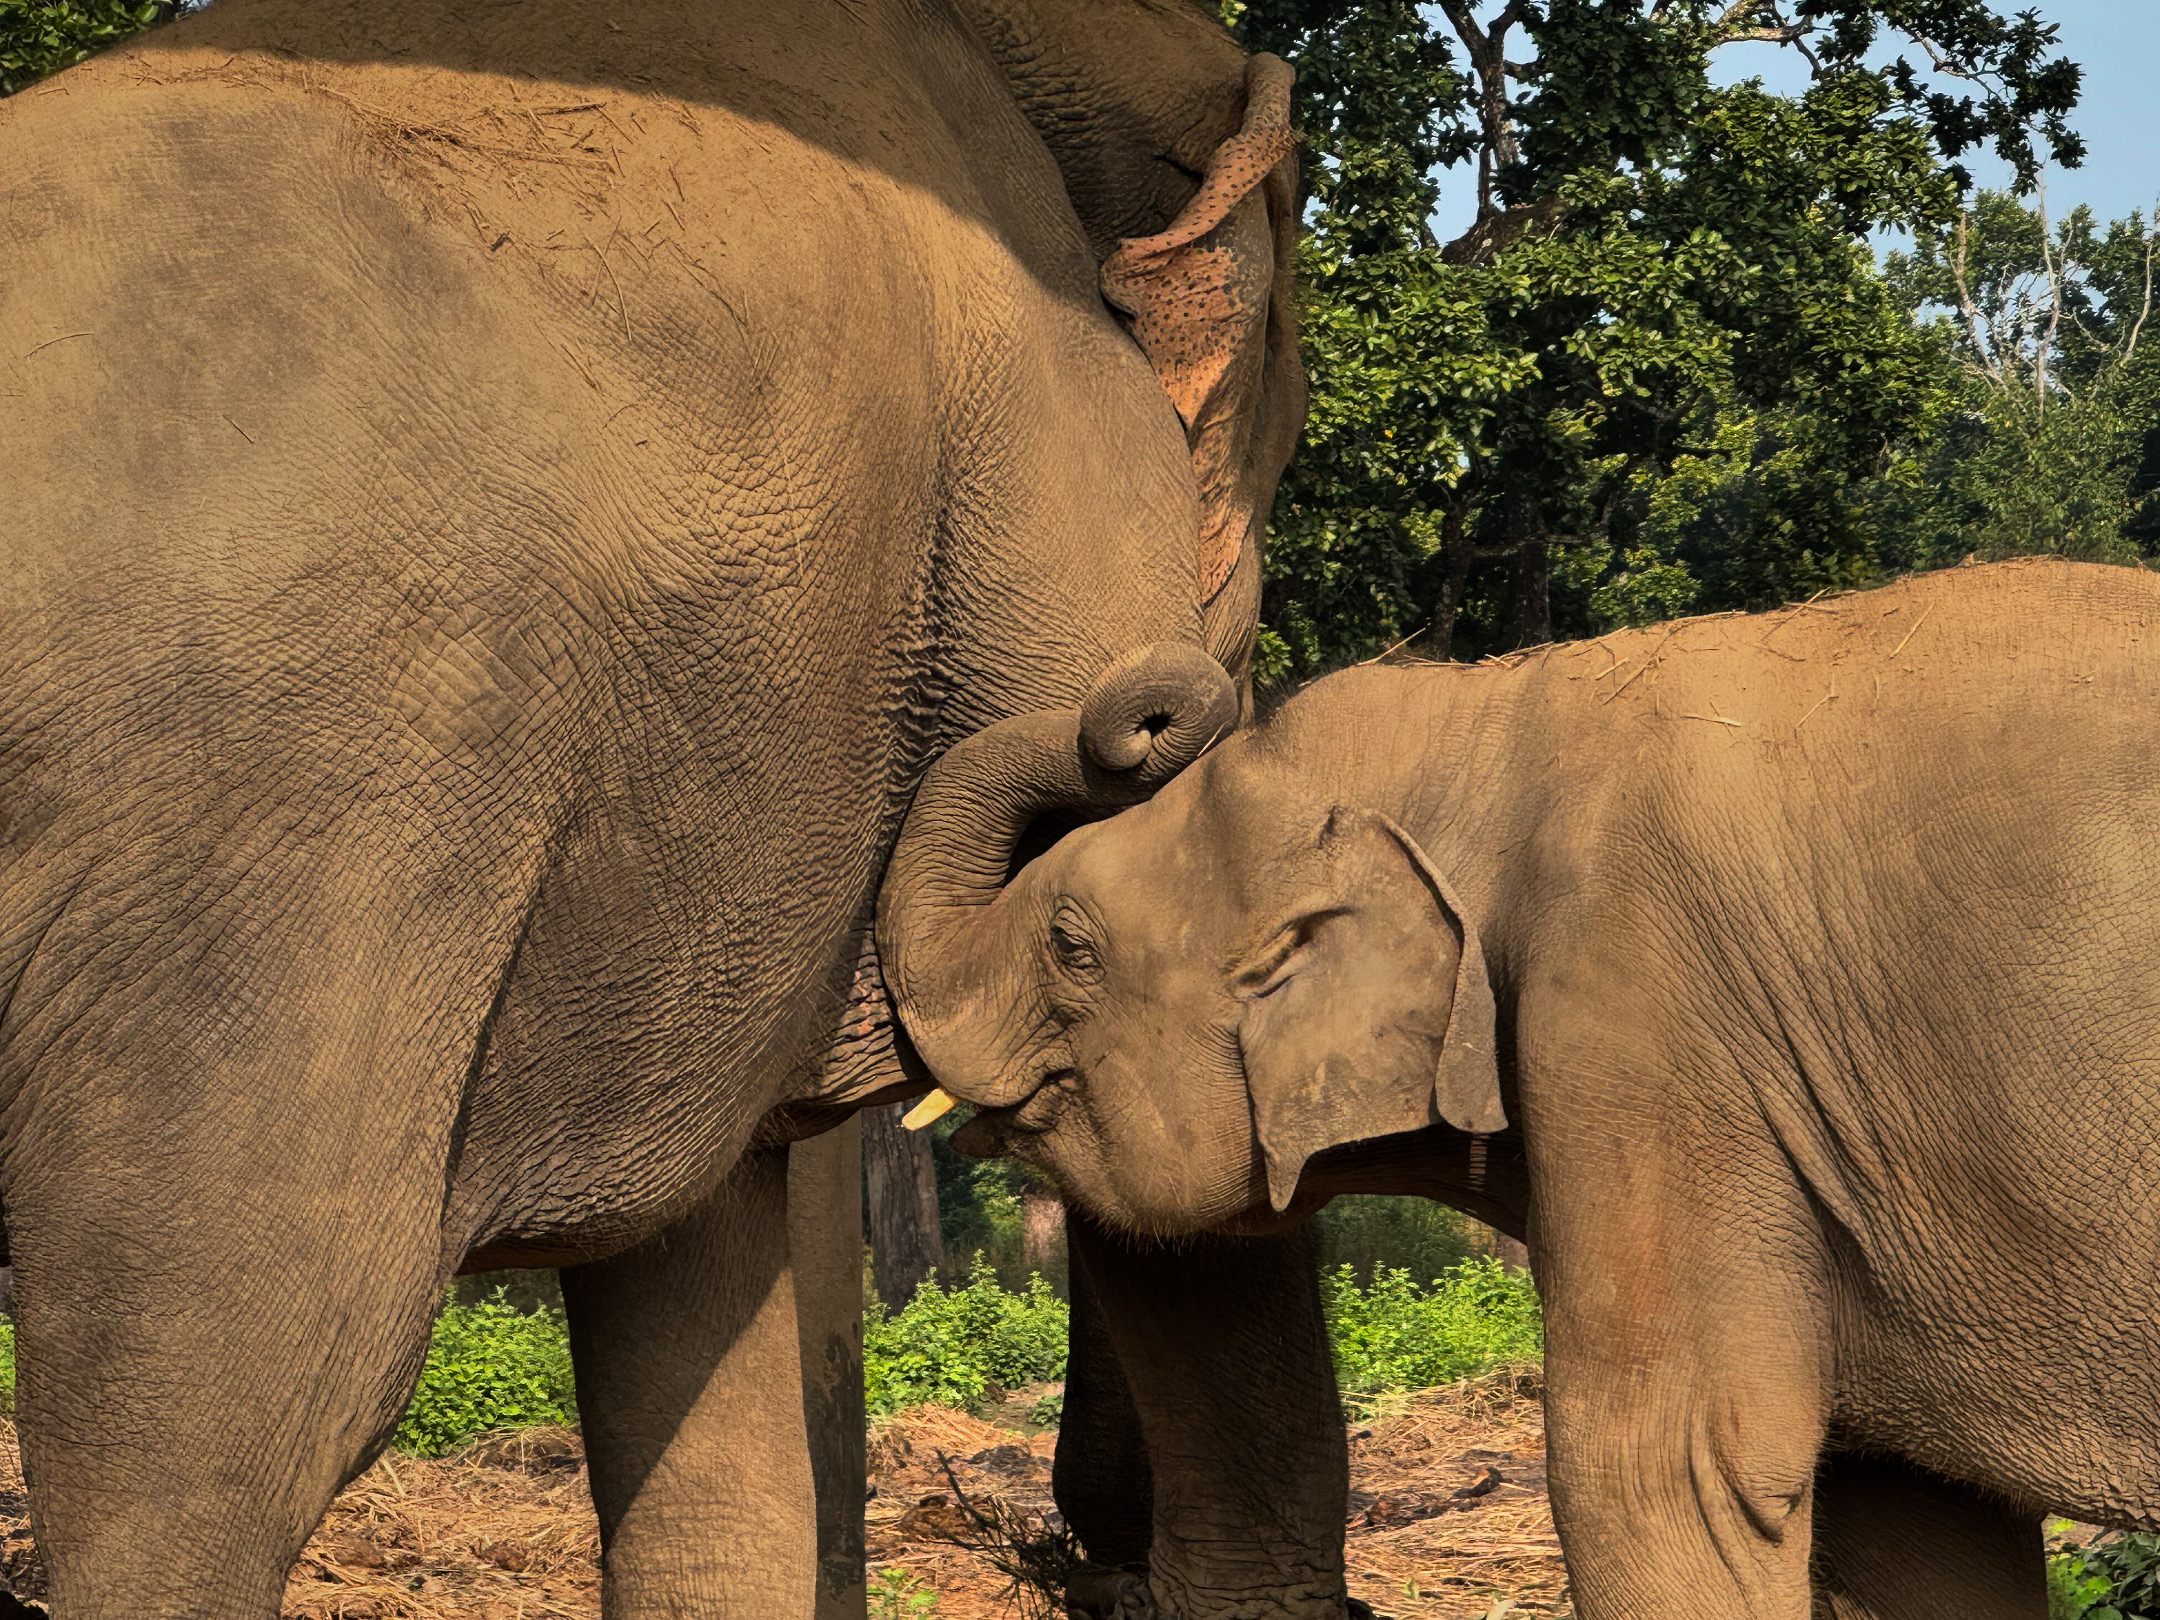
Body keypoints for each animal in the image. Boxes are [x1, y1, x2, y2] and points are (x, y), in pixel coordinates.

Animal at [872, 557, 2160, 1615]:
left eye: (1070, 947)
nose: (1147, 714)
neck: (1478, 725)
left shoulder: (1642, 1028)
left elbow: (1668, 1471)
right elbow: (1910, 1513)